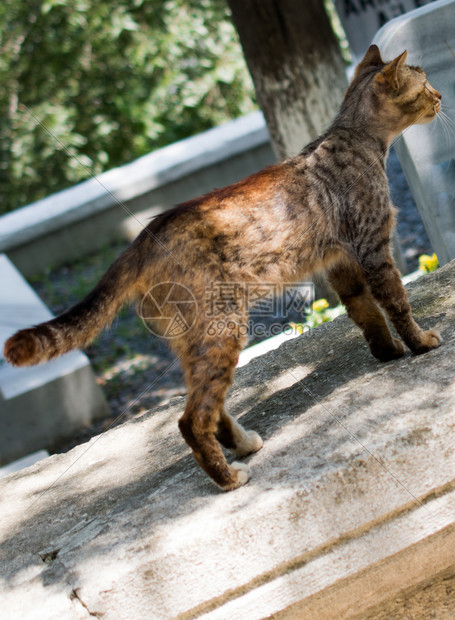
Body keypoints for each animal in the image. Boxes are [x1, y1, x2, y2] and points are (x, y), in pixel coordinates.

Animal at [5, 46, 444, 490]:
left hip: (195, 341)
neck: (356, 137)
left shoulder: (343, 265)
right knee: (191, 420)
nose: (441, 95)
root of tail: (139, 241)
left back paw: (244, 444)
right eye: (425, 86)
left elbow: (368, 314)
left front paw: (388, 352)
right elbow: (396, 304)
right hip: (222, 328)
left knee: (210, 411)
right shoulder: (373, 251)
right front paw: (420, 343)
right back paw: (229, 478)